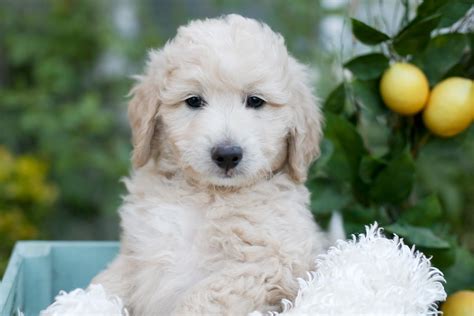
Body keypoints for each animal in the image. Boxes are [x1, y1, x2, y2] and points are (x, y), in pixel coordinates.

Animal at [94, 13, 328, 314]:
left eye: (255, 101)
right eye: (194, 101)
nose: (227, 154)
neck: (206, 195)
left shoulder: (271, 262)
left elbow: (201, 298)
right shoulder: (137, 254)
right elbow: (103, 286)